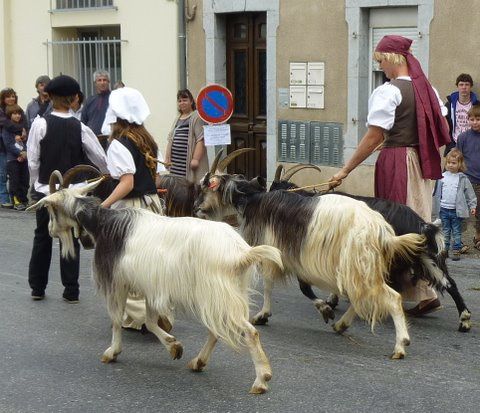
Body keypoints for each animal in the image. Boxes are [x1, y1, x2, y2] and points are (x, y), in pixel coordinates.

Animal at [28, 175, 284, 394]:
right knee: (215, 330)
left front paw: (112, 352)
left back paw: (261, 379)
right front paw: (174, 346)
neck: (105, 224)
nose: (50, 231)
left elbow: (116, 319)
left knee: (249, 332)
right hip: (222, 294)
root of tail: (240, 252)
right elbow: (150, 322)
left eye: (50, 209)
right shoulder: (151, 286)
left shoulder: (117, 282)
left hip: (216, 293)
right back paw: (198, 362)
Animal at [194, 171, 428, 358]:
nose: (196, 208)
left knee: (391, 298)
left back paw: (400, 345)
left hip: (358, 262)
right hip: (358, 266)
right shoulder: (295, 255)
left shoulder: (278, 250)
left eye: (205, 187)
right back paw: (342, 325)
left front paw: (263, 315)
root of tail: (382, 231)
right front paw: (325, 308)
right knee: (361, 296)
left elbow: (276, 284)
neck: (254, 198)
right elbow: (300, 285)